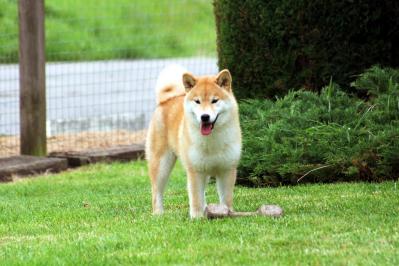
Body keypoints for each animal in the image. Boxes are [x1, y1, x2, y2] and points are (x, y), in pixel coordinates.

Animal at [145, 65, 242, 218]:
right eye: (197, 101)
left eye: (215, 100)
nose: (204, 116)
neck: (212, 141)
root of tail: (166, 100)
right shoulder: (195, 171)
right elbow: (196, 197)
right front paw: (197, 217)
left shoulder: (227, 170)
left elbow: (226, 198)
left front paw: (228, 212)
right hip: (161, 165)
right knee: (156, 191)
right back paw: (158, 213)